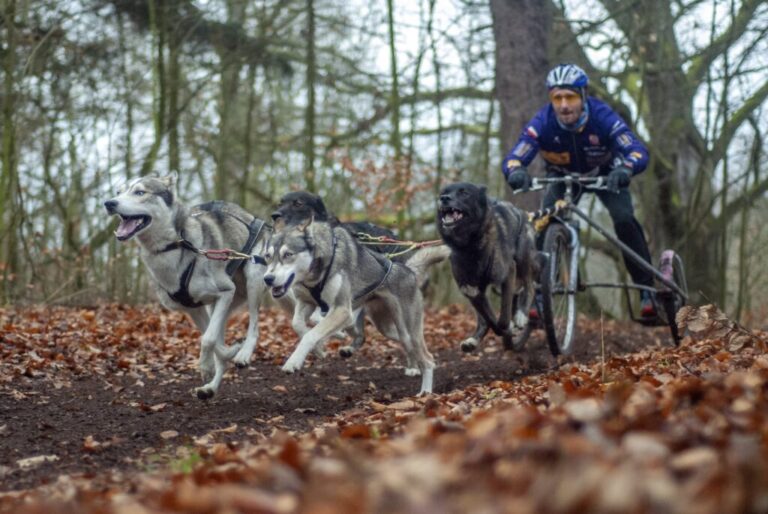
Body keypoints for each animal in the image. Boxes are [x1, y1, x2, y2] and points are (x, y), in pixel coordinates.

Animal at [438, 181, 540, 352]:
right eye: (444, 192)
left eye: (464, 193)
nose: (444, 198)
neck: (469, 245)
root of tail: (522, 213)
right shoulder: (471, 291)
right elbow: (490, 320)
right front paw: (501, 331)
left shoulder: (508, 273)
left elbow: (503, 318)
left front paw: (509, 327)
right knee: (484, 318)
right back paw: (473, 340)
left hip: (522, 259)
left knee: (530, 287)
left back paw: (520, 316)